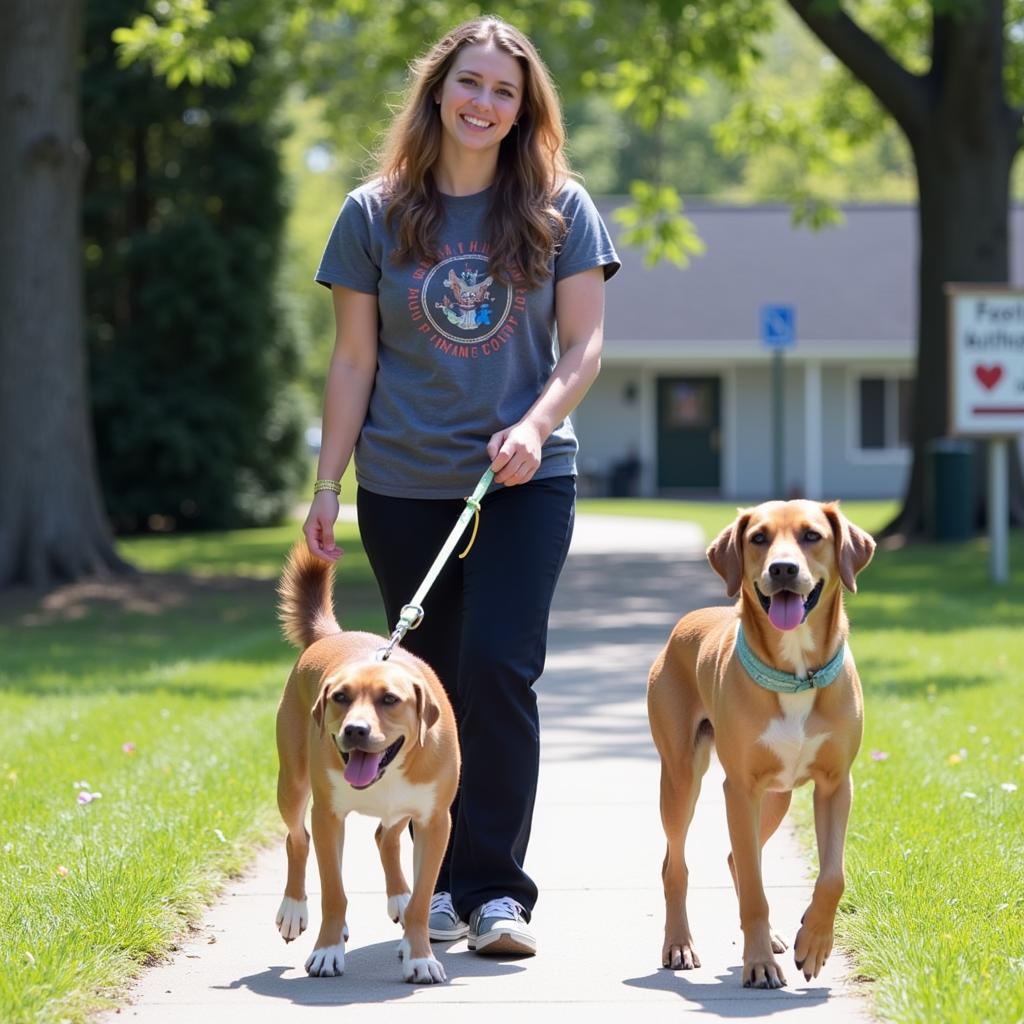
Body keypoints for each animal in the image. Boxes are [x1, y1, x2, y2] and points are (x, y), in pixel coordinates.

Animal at [276, 544, 460, 983]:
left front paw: (420, 955)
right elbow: (333, 891)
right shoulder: (328, 816)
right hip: (292, 785)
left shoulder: (435, 821)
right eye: (340, 697)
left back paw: (400, 900)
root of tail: (332, 636)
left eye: (390, 699)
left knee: (385, 837)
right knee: (297, 839)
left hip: (400, 811)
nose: (355, 730)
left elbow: (424, 897)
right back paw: (293, 909)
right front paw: (326, 952)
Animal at [647, 499, 872, 987]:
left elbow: (833, 877)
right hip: (681, 779)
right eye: (759, 538)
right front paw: (759, 965)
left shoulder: (835, 785)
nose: (783, 568)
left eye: (812, 535)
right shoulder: (739, 789)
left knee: (737, 856)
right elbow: (754, 890)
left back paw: (769, 937)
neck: (796, 673)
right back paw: (679, 945)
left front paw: (814, 943)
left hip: (778, 797)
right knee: (676, 865)